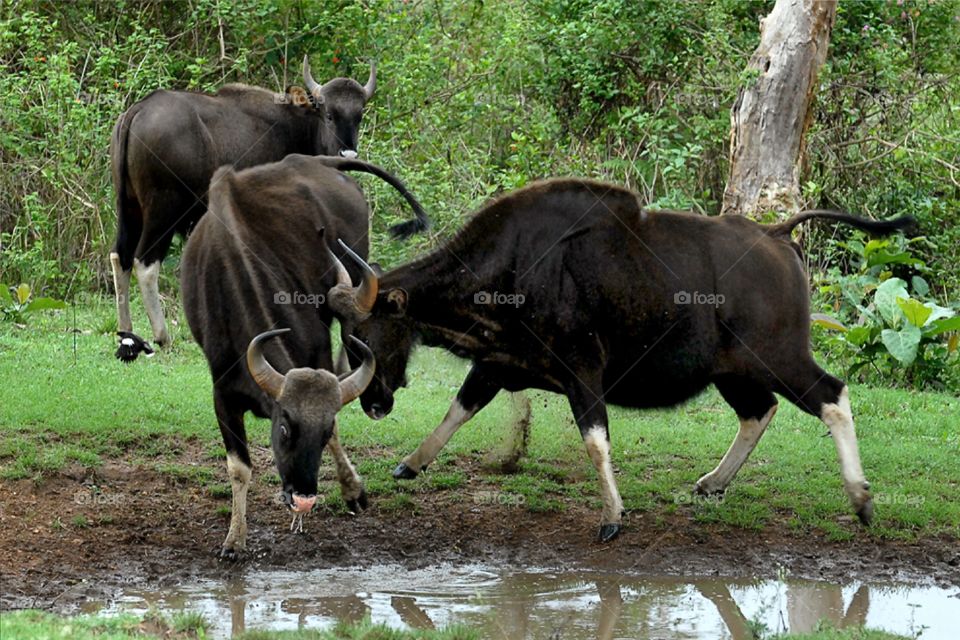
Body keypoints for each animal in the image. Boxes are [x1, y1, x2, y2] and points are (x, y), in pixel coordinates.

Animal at [111, 56, 425, 356]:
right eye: (329, 114)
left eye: (358, 116)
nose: (346, 153)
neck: (296, 126)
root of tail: (137, 112)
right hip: (163, 210)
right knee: (145, 262)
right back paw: (162, 336)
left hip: (128, 208)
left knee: (120, 256)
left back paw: (127, 333)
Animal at [180, 154, 424, 558]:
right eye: (284, 428)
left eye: (321, 433)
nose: (306, 498)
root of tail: (314, 160)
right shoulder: (223, 394)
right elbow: (239, 468)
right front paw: (235, 539)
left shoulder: (318, 353)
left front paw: (352, 490)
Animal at [327, 178, 914, 542]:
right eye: (347, 334)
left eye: (365, 334)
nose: (372, 401)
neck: (516, 264)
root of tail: (776, 234)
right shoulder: (498, 363)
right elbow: (458, 410)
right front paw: (411, 463)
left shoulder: (582, 371)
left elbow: (594, 439)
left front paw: (612, 515)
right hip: (732, 371)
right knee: (759, 410)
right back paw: (713, 483)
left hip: (779, 357)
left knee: (832, 396)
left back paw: (861, 499)